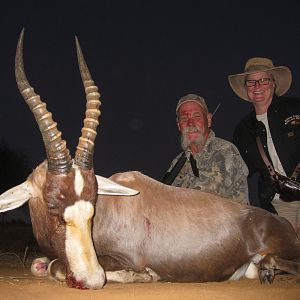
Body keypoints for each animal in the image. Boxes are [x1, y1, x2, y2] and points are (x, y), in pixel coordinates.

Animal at [0, 29, 300, 290]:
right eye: (52, 203)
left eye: (93, 202)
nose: (92, 279)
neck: (112, 205)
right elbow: (40, 265)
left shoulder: (124, 258)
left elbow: (58, 267)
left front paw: (143, 276)